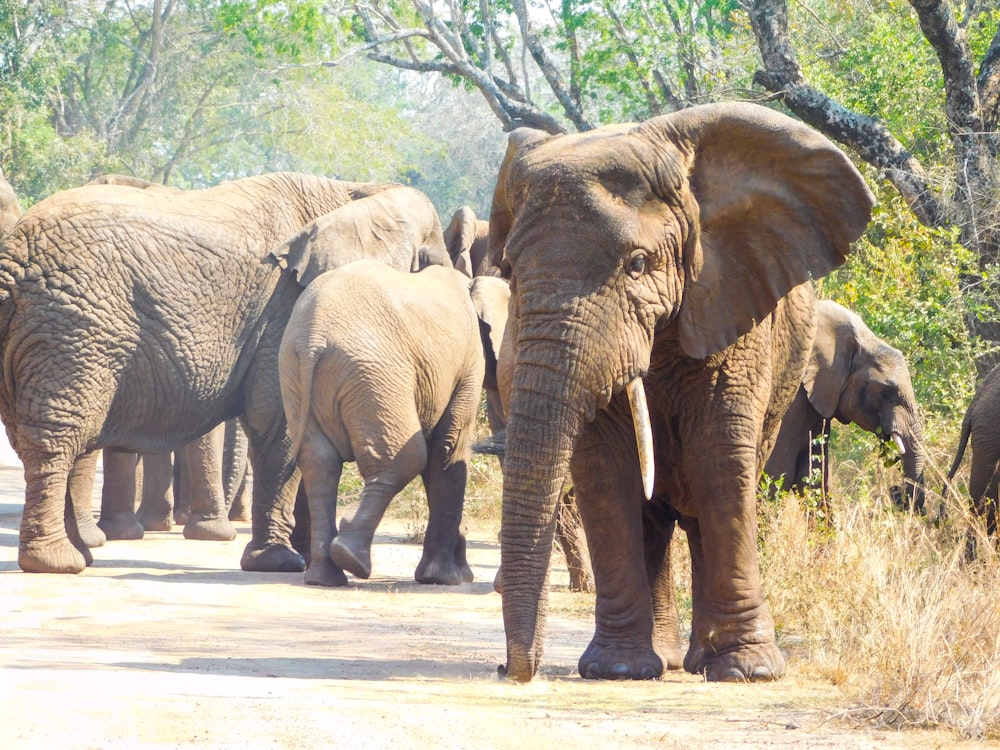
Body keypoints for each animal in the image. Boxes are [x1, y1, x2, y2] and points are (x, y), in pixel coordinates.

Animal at [0, 176, 454, 576]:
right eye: (428, 261)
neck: (354, 193)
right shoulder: (283, 308)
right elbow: (280, 424)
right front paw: (281, 564)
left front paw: (301, 559)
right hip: (75, 328)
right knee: (58, 436)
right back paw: (58, 563)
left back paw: (76, 555)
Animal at [278, 262, 508, 592]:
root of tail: (312, 338)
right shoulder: (469, 362)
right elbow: (448, 451)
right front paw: (446, 579)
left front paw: (455, 575)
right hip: (374, 374)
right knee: (404, 459)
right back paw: (350, 558)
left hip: (295, 374)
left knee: (319, 466)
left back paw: (325, 578)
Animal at [492, 103, 876, 684]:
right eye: (511, 271)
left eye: (637, 264)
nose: (512, 669)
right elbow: (603, 469)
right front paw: (615, 670)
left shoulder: (735, 301)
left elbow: (719, 458)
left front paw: (750, 671)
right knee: (652, 513)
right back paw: (661, 661)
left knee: (705, 496)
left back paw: (701, 661)